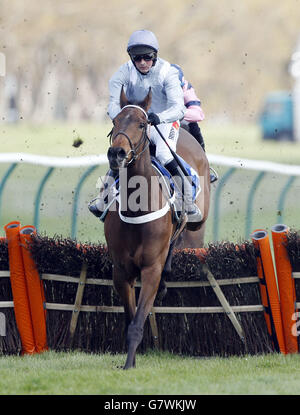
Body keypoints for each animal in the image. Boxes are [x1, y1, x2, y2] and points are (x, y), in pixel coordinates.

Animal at [104, 88, 210, 370]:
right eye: (114, 122)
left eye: (142, 124)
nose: (116, 153)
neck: (137, 210)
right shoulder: (121, 270)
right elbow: (130, 318)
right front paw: (129, 361)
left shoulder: (151, 267)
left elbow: (137, 322)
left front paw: (129, 364)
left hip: (198, 225)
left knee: (180, 238)